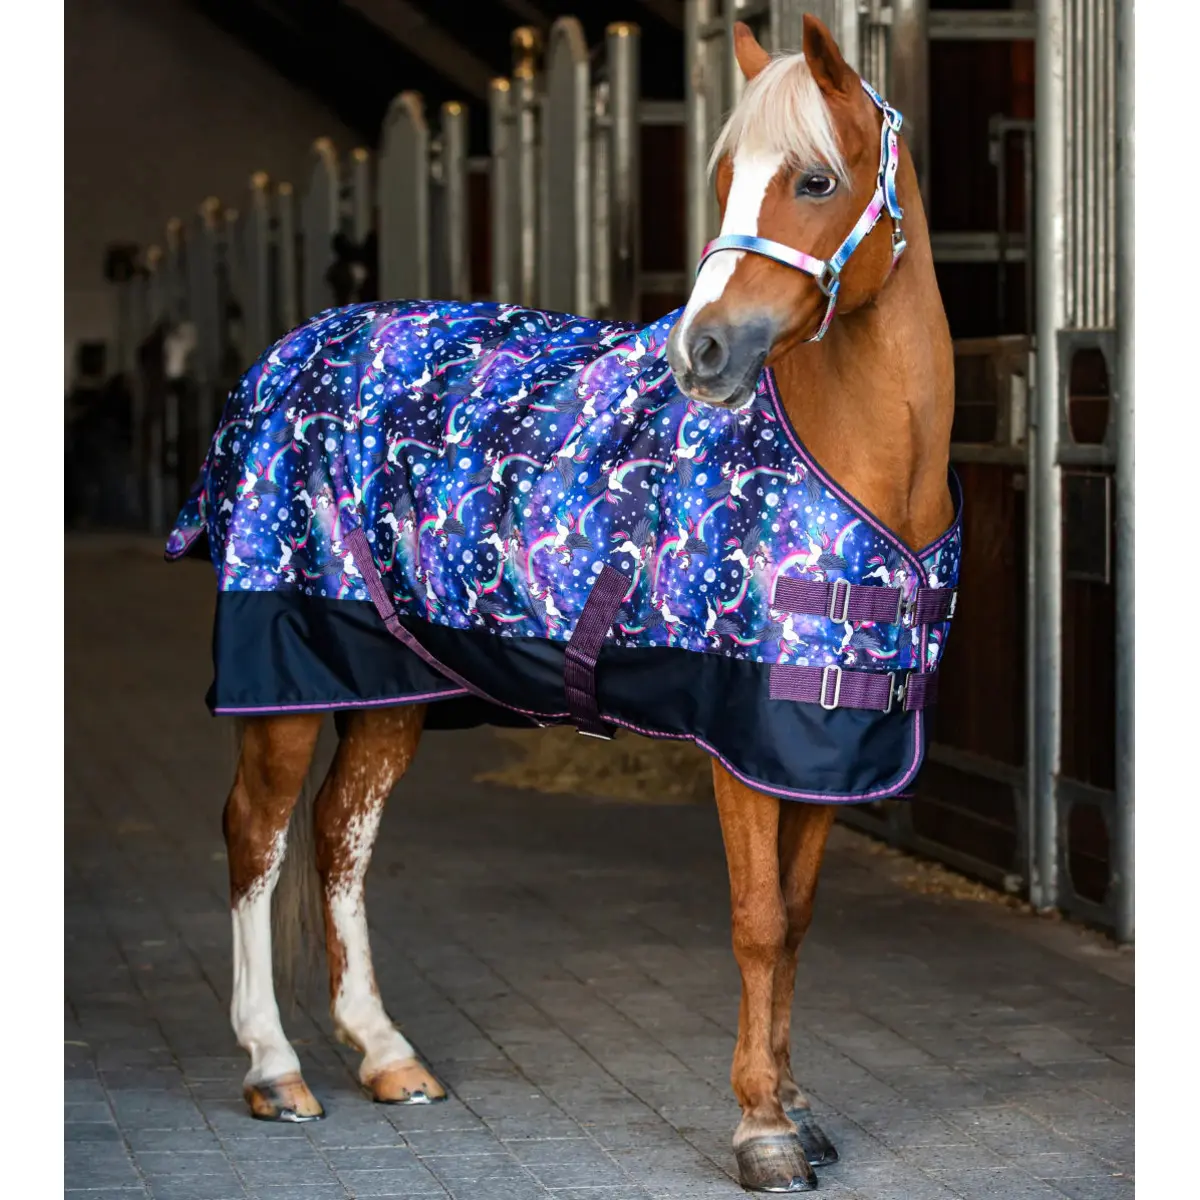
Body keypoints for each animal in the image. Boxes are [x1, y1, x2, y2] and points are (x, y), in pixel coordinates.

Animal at [205, 17, 953, 1194]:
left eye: (815, 180)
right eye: (722, 178)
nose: (703, 351)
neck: (857, 458)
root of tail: (286, 356)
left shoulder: (825, 743)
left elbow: (798, 922)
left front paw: (796, 1105)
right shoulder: (741, 739)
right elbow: (757, 921)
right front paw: (761, 1127)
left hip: (392, 681)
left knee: (340, 833)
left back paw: (385, 1054)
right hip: (285, 669)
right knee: (258, 835)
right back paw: (275, 1069)